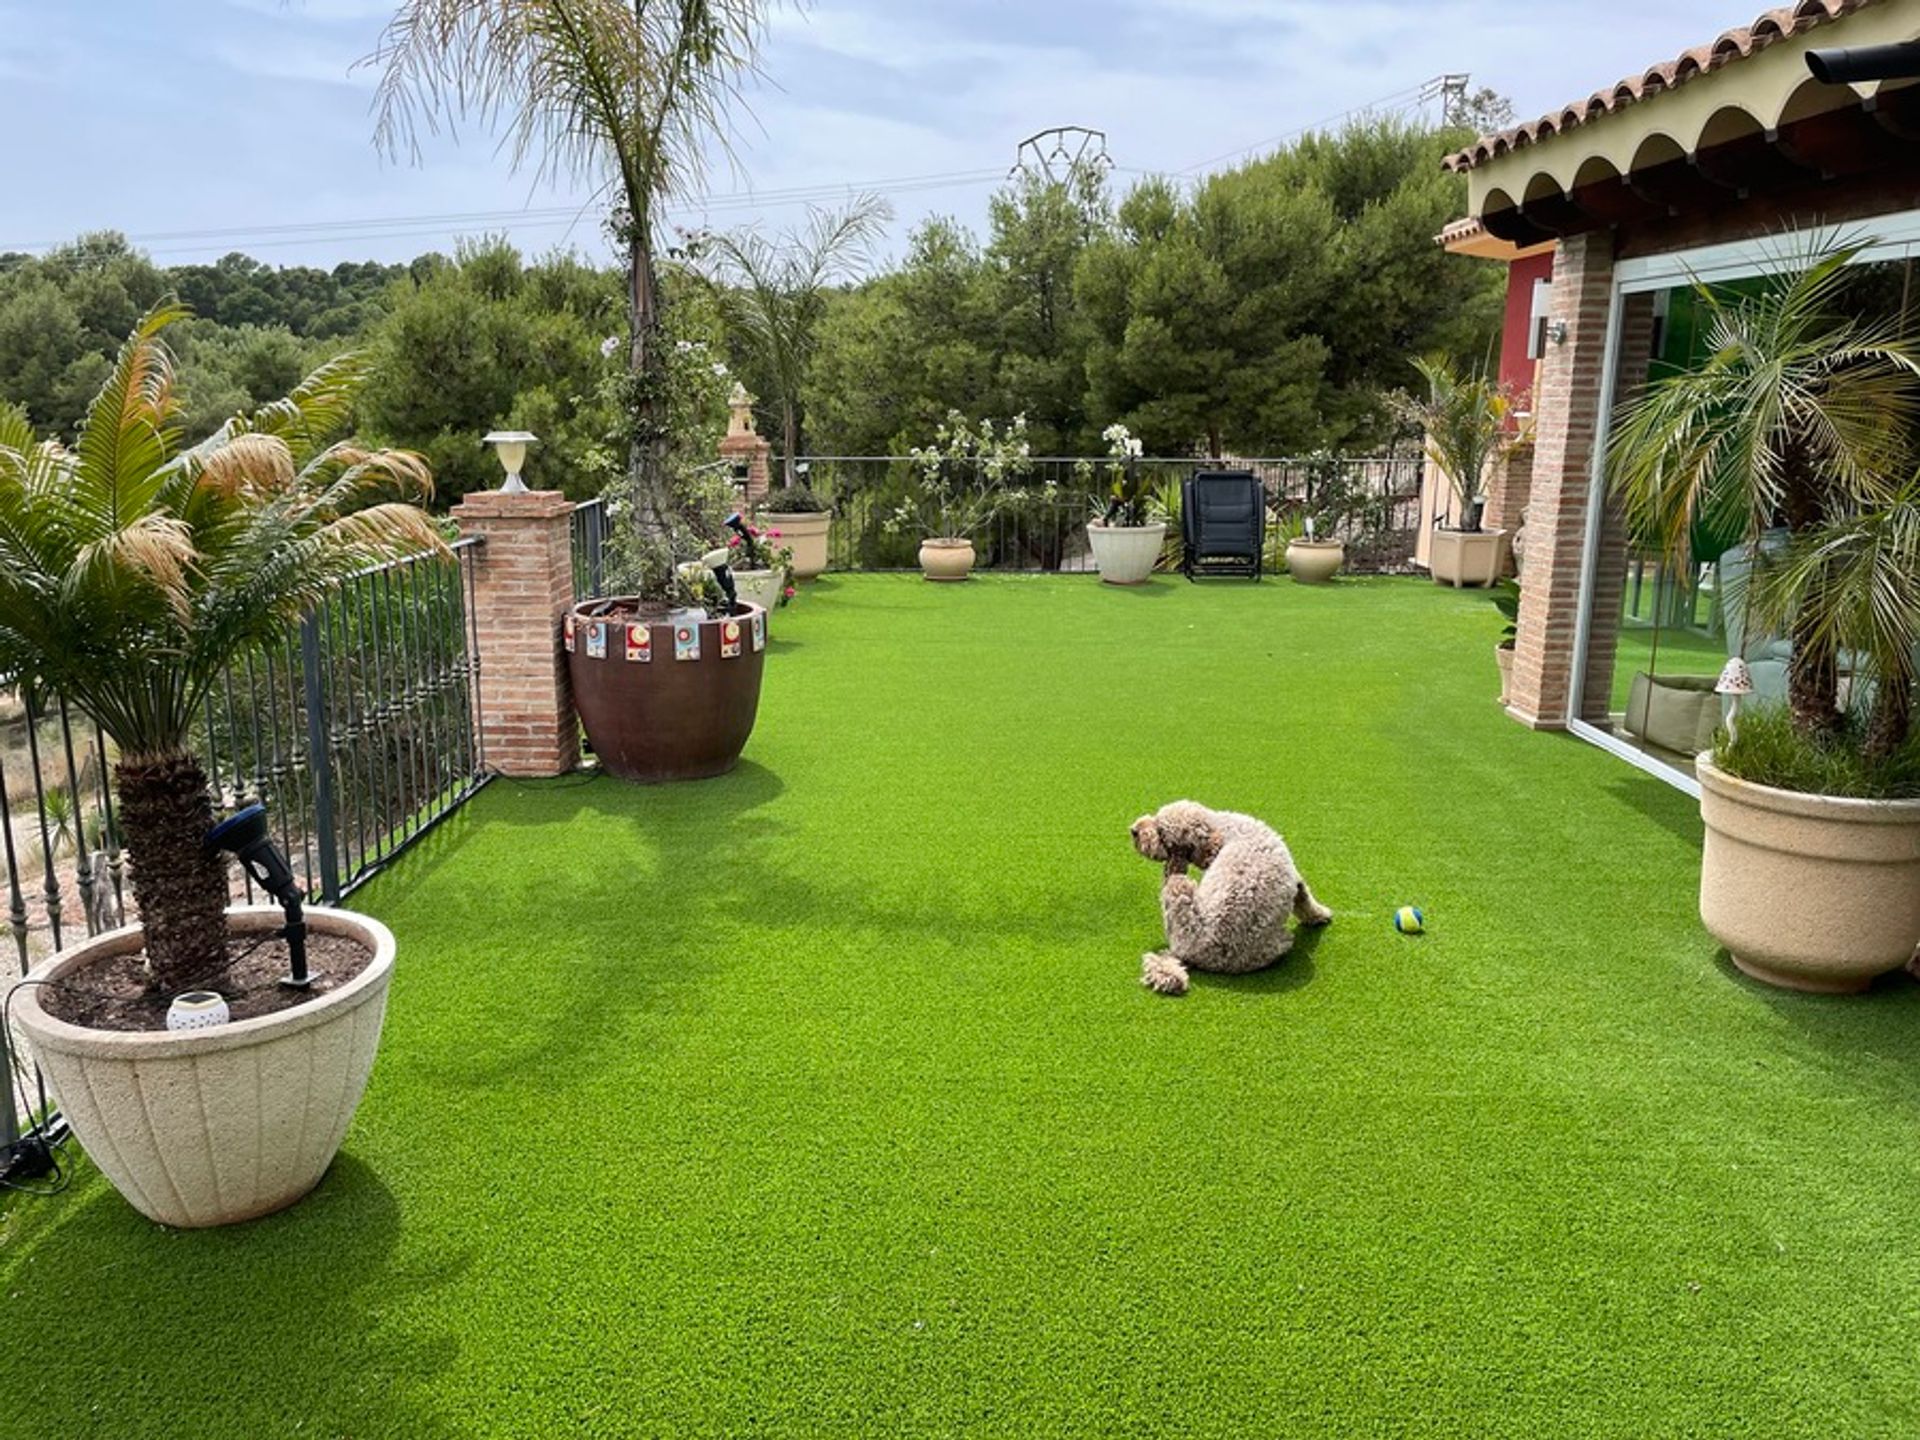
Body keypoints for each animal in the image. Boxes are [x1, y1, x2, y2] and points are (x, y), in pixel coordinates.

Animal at [1128, 802, 1328, 990]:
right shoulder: (1295, 878)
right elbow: (1304, 897)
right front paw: (1321, 915)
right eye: (1156, 817)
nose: (1134, 830)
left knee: (1174, 880)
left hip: (1179, 888)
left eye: (1161, 832)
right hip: (1274, 947)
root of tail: (1191, 952)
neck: (1219, 826)